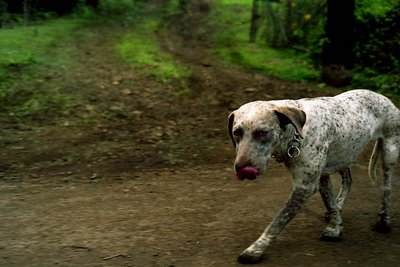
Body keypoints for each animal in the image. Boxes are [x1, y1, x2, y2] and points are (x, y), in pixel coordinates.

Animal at [228, 89, 400, 264]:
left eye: (263, 133)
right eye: (236, 133)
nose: (240, 168)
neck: (297, 133)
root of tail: (384, 98)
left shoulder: (305, 186)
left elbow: (278, 221)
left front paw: (256, 248)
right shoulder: (322, 177)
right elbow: (330, 203)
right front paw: (335, 227)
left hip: (389, 152)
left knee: (387, 187)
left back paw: (384, 220)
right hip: (344, 155)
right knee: (348, 180)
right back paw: (341, 205)